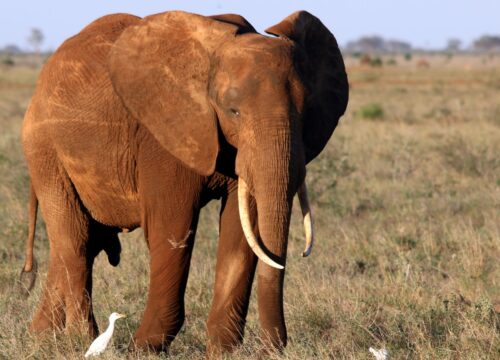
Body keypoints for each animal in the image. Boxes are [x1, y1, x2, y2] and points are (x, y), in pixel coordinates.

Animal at [19, 9, 348, 356]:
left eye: (306, 111)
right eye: (233, 111)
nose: (270, 349)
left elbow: (241, 231)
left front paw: (222, 352)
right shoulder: (162, 135)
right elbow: (172, 228)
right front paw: (143, 349)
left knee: (80, 242)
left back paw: (42, 337)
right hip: (44, 150)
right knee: (75, 239)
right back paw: (82, 340)